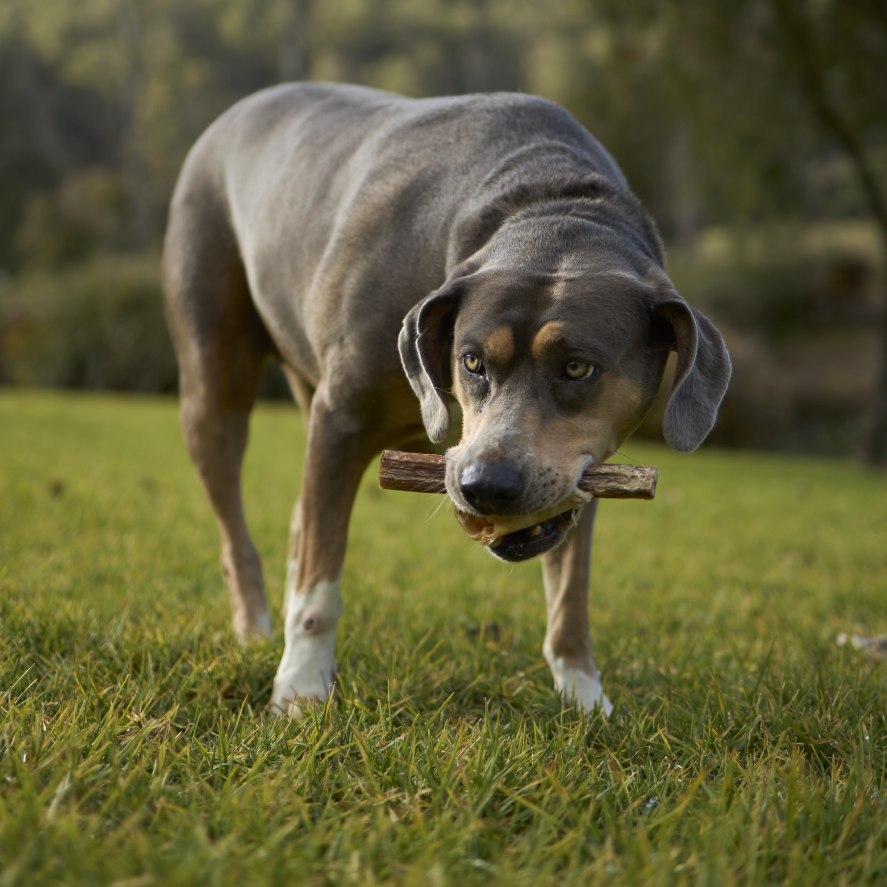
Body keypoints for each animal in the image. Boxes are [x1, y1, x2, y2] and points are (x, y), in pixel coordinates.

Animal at [163, 83, 732, 720]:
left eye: (577, 367)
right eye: (472, 362)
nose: (487, 484)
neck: (550, 199)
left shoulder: (586, 470)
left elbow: (570, 597)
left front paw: (585, 698)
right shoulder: (340, 420)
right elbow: (321, 580)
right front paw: (302, 688)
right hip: (214, 379)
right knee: (240, 523)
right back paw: (256, 632)